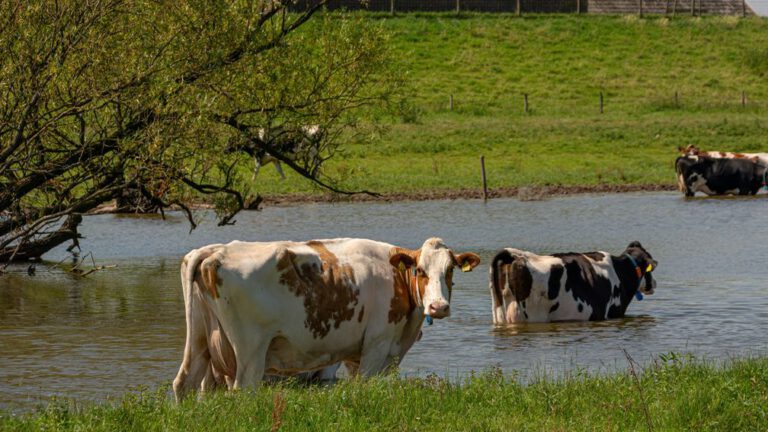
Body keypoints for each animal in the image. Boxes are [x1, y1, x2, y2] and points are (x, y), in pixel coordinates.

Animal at [174, 238, 480, 400]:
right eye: (420, 270)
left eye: (450, 270)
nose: (438, 306)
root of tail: (215, 251)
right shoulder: (377, 345)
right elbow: (365, 385)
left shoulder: (357, 354)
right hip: (250, 349)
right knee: (244, 388)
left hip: (200, 339)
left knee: (184, 383)